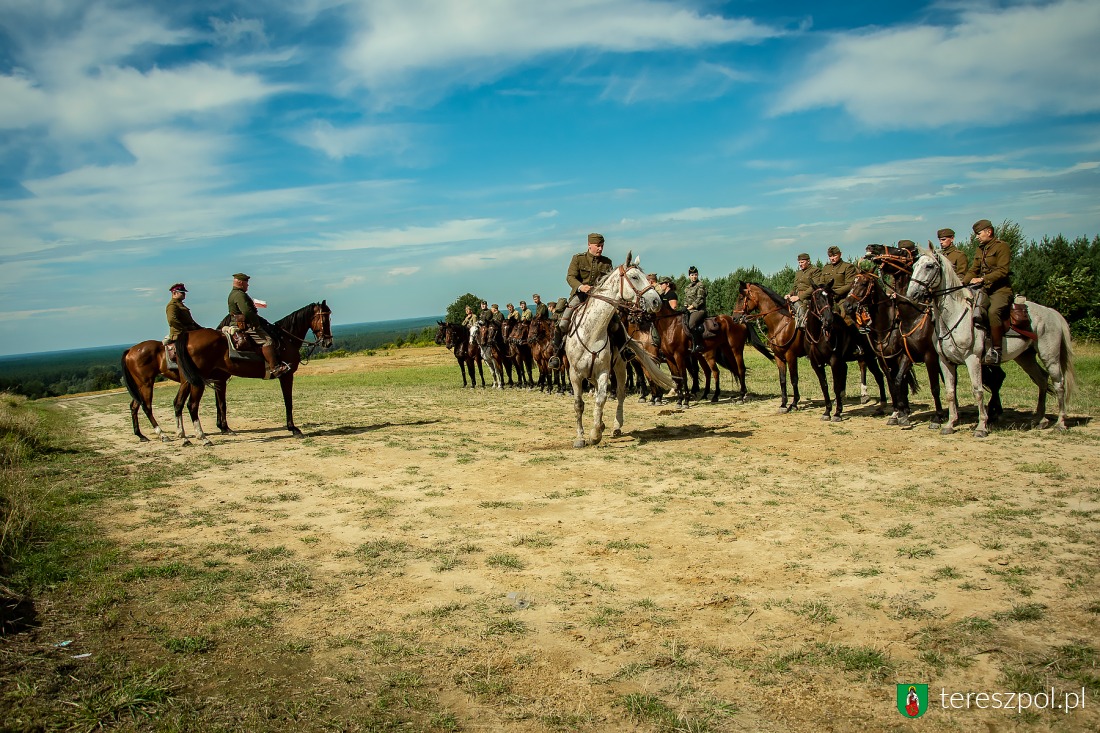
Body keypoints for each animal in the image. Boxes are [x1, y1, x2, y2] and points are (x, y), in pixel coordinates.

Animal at [175, 301, 332, 438]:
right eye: (325, 318)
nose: (328, 342)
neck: (286, 339)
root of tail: (188, 335)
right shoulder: (286, 376)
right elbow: (288, 401)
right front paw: (293, 428)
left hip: (192, 380)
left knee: (180, 403)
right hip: (198, 381)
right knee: (192, 405)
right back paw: (201, 436)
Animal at [565, 253, 672, 447]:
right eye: (635, 277)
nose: (656, 301)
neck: (592, 332)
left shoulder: (603, 371)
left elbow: (601, 399)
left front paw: (595, 434)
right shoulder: (575, 374)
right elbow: (578, 404)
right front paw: (580, 437)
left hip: (620, 367)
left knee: (621, 394)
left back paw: (616, 425)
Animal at [906, 246, 1075, 436]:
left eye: (929, 266)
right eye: (914, 266)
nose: (912, 294)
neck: (954, 316)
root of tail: (1053, 313)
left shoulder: (973, 359)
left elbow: (978, 391)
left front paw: (981, 426)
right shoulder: (945, 361)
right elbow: (950, 392)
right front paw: (949, 424)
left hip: (1050, 357)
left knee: (1059, 384)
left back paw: (1060, 423)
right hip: (1025, 357)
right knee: (1042, 380)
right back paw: (1040, 419)